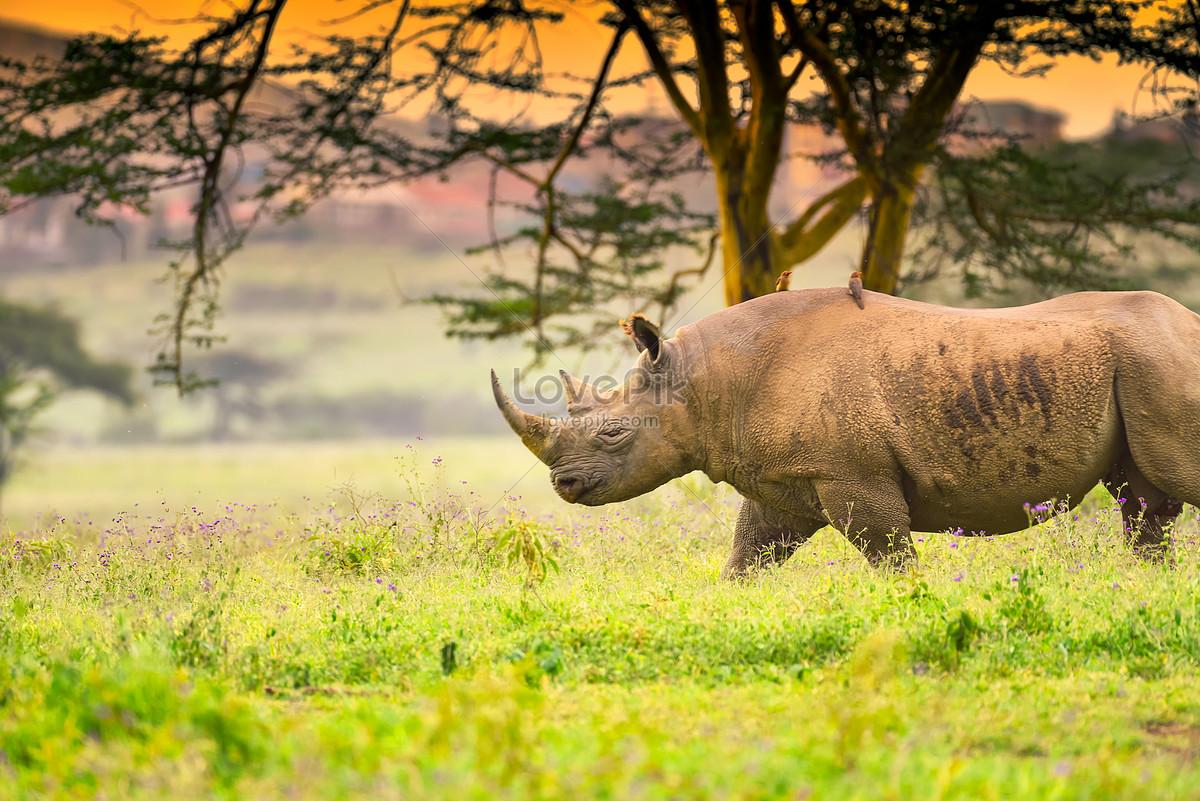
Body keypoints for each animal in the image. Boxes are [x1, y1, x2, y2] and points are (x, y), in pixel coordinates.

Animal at [491, 288, 1200, 577]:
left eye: (614, 435)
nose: (564, 484)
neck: (704, 380)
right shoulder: (787, 479)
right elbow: (748, 555)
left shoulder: (852, 474)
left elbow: (890, 557)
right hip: (1141, 368)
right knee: (1144, 505)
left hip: (1162, 362)